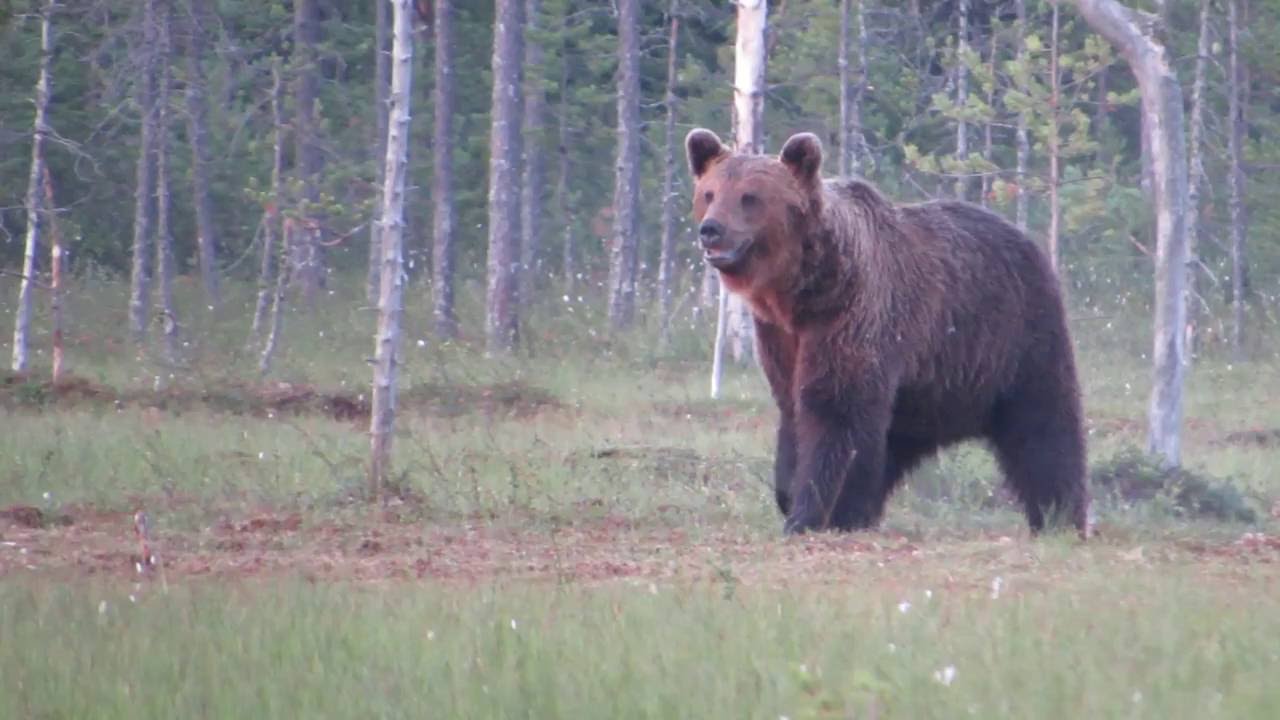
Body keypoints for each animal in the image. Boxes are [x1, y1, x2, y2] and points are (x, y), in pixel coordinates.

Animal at [684, 128, 1090, 538]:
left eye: (750, 196)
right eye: (709, 193)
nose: (711, 230)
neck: (802, 292)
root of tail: (1027, 239)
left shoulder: (851, 316)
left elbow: (835, 409)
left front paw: (810, 513)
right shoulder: (780, 336)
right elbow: (794, 408)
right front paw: (791, 492)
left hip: (1015, 338)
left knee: (1043, 426)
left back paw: (1059, 515)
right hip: (930, 385)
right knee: (891, 443)